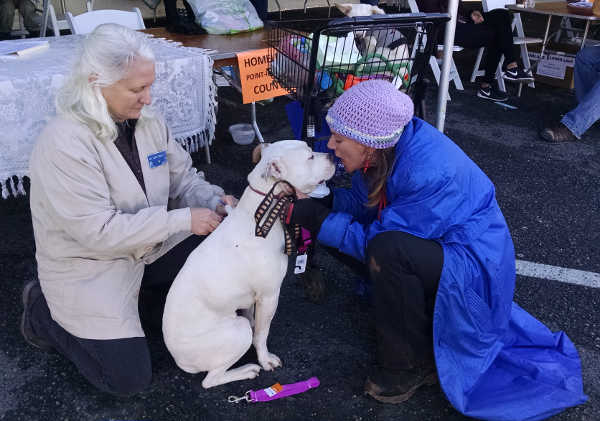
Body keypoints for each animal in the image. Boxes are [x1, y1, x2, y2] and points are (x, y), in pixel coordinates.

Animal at [162, 140, 336, 389]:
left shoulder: (253, 297)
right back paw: (246, 370)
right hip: (236, 332)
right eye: (310, 157)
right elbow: (262, 334)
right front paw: (265, 359)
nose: (332, 156)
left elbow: (253, 318)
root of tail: (179, 360)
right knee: (210, 380)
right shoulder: (270, 295)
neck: (260, 213)